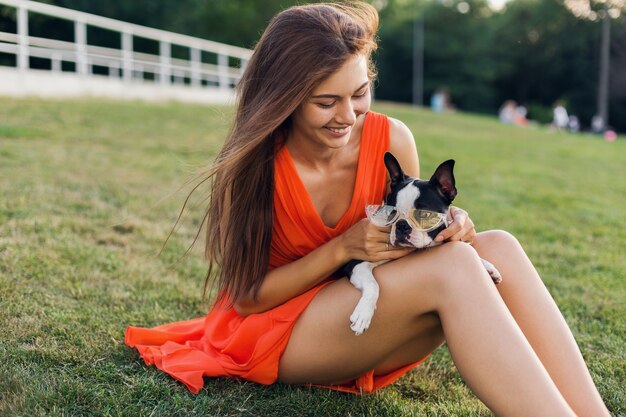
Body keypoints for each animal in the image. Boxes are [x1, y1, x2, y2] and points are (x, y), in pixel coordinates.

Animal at [344, 153, 500, 334]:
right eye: (392, 212)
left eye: (424, 214)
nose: (402, 225)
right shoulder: (356, 264)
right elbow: (372, 284)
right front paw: (363, 314)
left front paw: (487, 265)